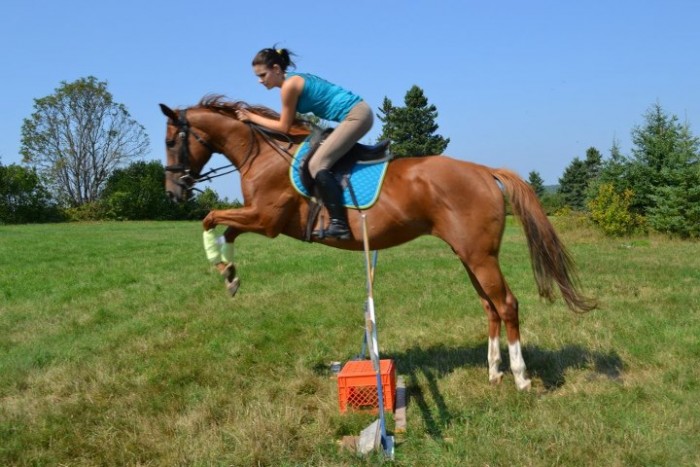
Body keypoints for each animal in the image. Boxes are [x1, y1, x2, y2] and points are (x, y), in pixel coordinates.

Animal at [160, 95, 596, 392]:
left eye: (169, 141)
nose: (172, 193)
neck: (262, 152)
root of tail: (485, 171)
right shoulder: (258, 218)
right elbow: (226, 229)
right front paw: (229, 273)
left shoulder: (266, 220)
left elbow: (212, 218)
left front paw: (221, 265)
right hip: (469, 255)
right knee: (490, 306)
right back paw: (493, 372)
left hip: (479, 255)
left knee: (506, 304)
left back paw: (521, 377)